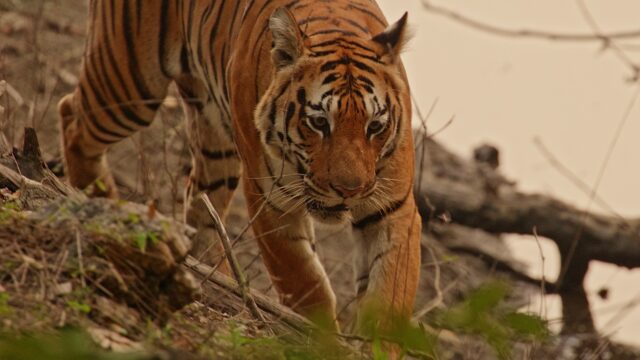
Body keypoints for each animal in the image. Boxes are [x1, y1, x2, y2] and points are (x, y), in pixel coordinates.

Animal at [57, 0, 420, 332]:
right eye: (318, 122)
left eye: (374, 126)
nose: (348, 191)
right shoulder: (272, 202)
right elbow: (306, 284)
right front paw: (323, 340)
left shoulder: (393, 210)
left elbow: (389, 299)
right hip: (129, 84)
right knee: (72, 117)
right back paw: (104, 207)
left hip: (214, 142)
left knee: (201, 206)